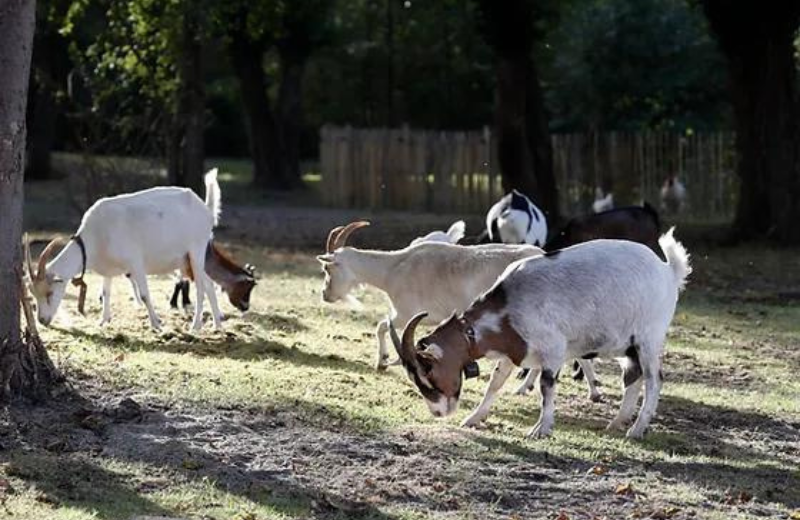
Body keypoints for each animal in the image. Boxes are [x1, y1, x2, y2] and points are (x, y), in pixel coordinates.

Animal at [316, 219, 540, 370]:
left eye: (327, 268)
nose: (325, 294)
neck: (393, 268)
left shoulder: (406, 313)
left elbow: (382, 326)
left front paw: (382, 362)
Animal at [390, 230, 692, 436]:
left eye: (428, 374)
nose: (438, 412)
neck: (508, 306)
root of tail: (668, 271)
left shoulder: (554, 349)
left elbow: (547, 387)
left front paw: (541, 428)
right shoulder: (512, 351)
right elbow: (495, 383)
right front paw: (474, 418)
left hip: (648, 339)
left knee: (653, 380)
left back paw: (636, 429)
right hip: (626, 346)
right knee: (632, 377)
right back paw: (617, 422)